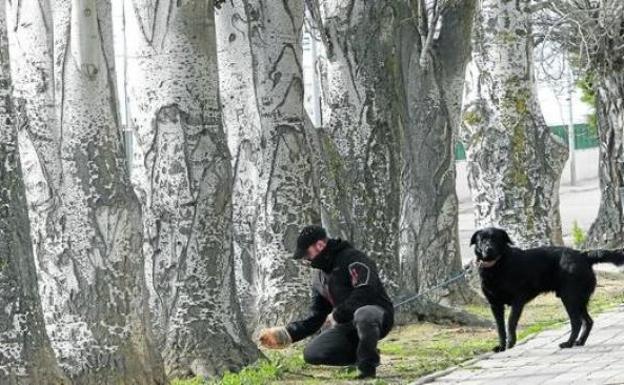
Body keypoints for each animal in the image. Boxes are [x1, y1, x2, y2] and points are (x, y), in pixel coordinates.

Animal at [470, 228, 624, 352]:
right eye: (482, 240)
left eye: (495, 239)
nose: (488, 249)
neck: (497, 265)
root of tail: (582, 255)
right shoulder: (494, 305)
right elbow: (500, 328)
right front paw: (502, 346)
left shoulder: (518, 300)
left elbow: (510, 322)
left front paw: (511, 343)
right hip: (579, 299)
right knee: (588, 321)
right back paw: (579, 341)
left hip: (570, 297)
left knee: (577, 322)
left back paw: (568, 343)